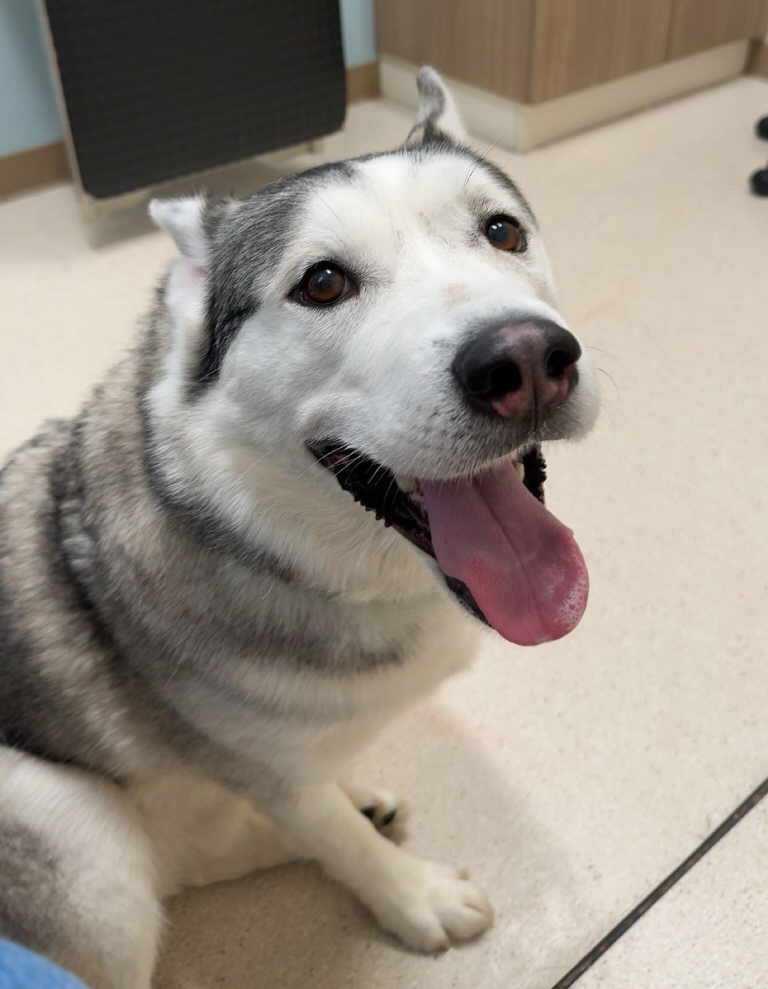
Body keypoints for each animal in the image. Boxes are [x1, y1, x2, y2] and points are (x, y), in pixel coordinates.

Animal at [0, 68, 599, 988]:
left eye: (501, 230)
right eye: (322, 283)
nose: (527, 358)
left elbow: (318, 815)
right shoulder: (265, 770)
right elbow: (335, 838)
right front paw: (412, 893)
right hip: (81, 846)